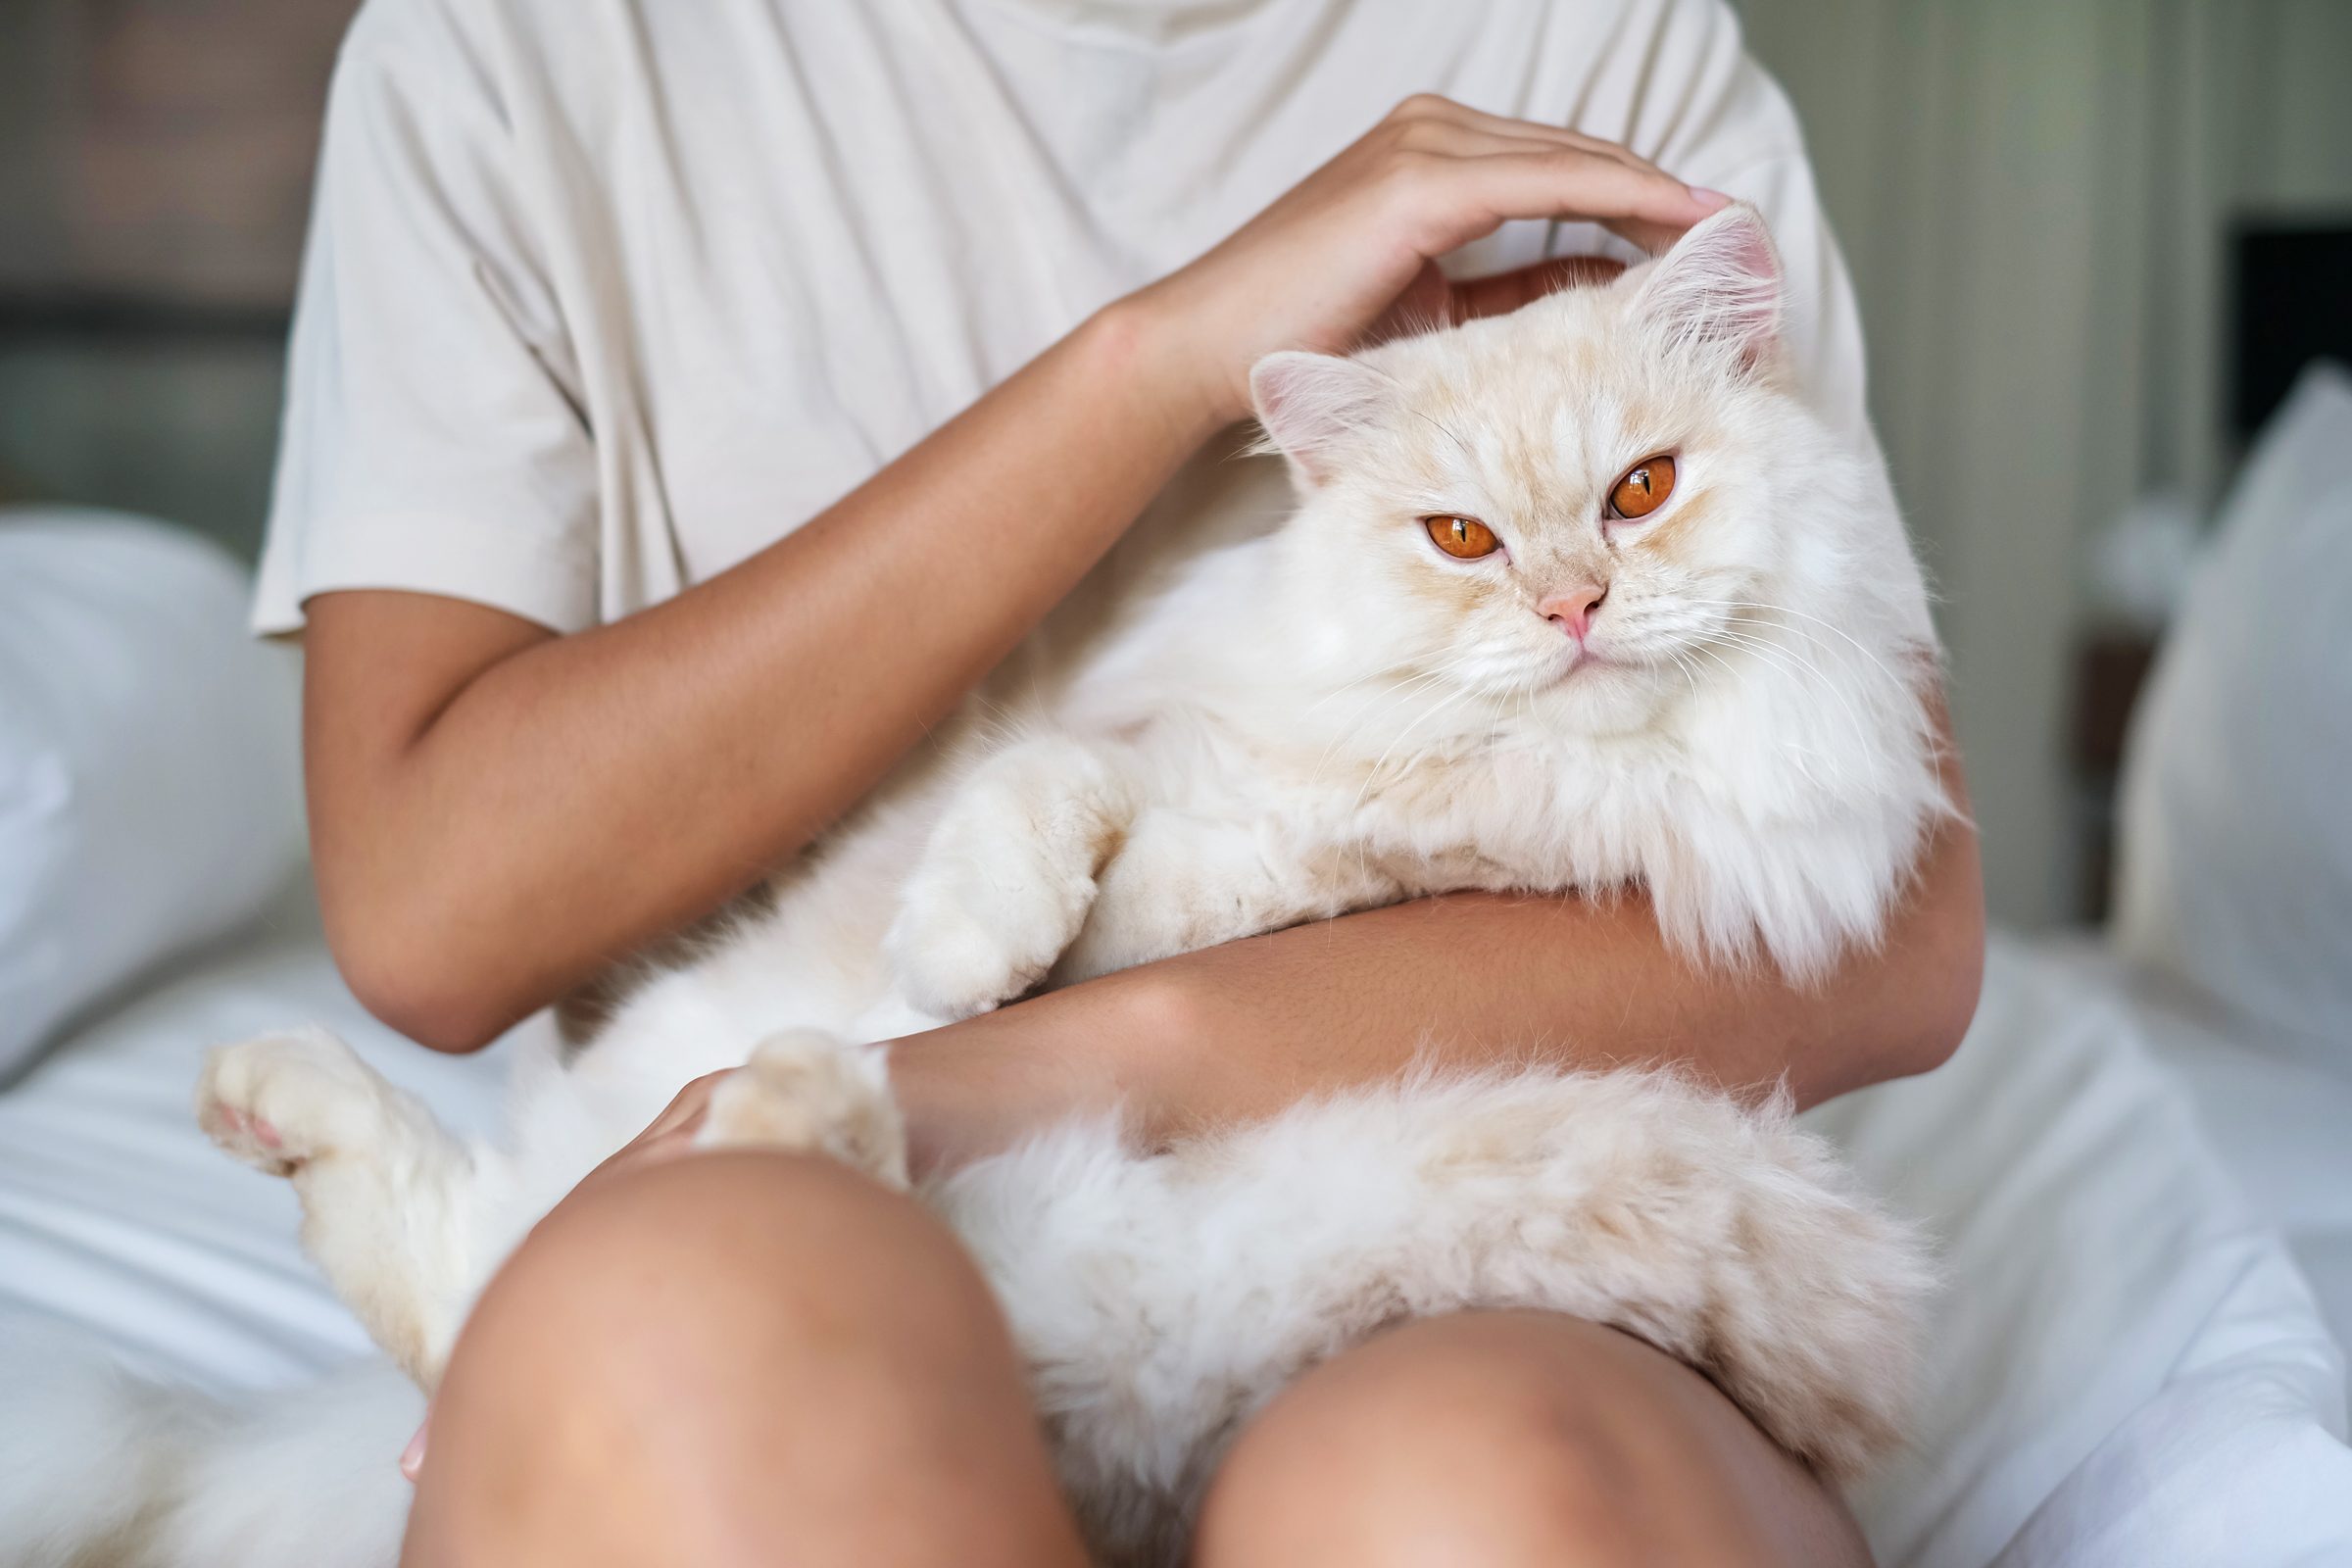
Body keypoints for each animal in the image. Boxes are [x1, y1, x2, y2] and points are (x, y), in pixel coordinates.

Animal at [4, 208, 1947, 1568]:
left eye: (1643, 491)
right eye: (1460, 540)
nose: (1571, 610)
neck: (1480, 778)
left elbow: (1197, 897)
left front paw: (987, 977)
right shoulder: (1146, 760)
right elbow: (1047, 806)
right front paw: (967, 959)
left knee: (630, 1239)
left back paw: (776, 1107)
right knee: (478, 1263)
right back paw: (282, 1096)